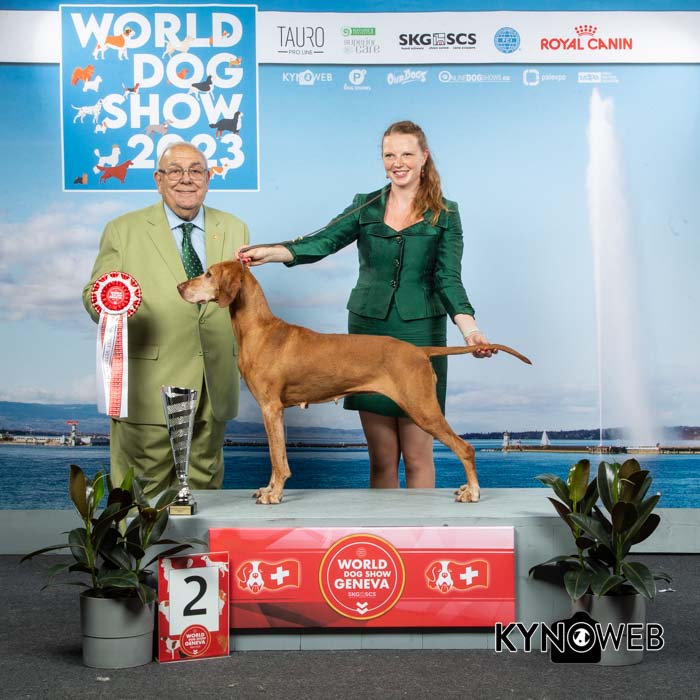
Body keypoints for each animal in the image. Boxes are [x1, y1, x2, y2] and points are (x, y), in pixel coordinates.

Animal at [177, 261, 531, 505]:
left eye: (208, 274)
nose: (180, 287)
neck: (260, 329)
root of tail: (419, 350)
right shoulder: (274, 410)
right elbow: (279, 457)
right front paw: (269, 489)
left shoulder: (270, 407)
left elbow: (278, 458)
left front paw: (274, 494)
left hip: (423, 409)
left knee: (466, 447)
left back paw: (472, 492)